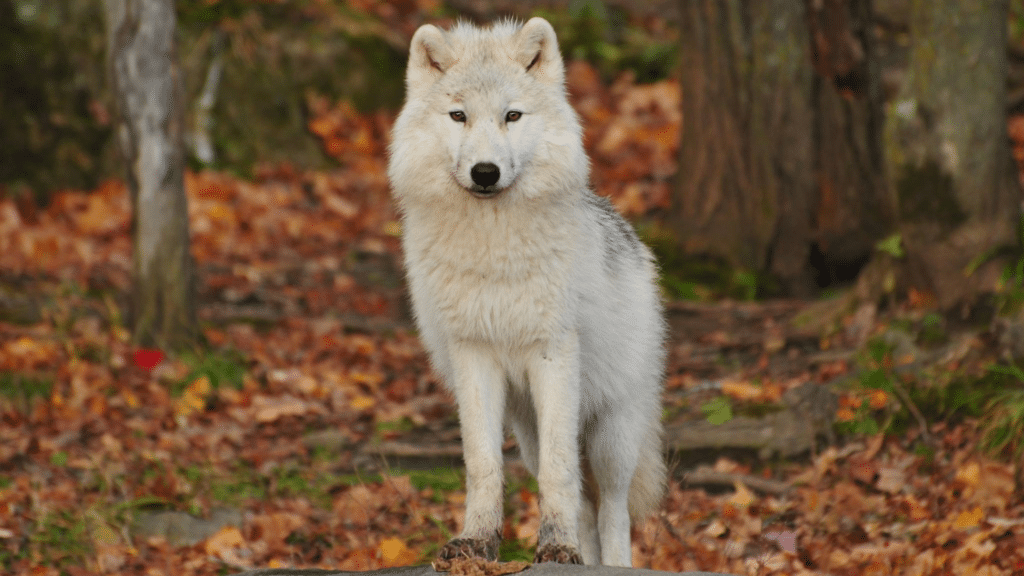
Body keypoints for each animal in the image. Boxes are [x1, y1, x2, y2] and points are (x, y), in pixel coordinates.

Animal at [387, 16, 667, 565]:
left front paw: (555, 545)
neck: (493, 250)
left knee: (613, 509)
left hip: (611, 434)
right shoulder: (473, 354)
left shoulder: (552, 352)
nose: (485, 173)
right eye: (459, 116)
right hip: (527, 431)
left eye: (512, 115)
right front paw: (477, 541)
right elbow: (482, 465)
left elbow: (561, 474)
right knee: (585, 507)